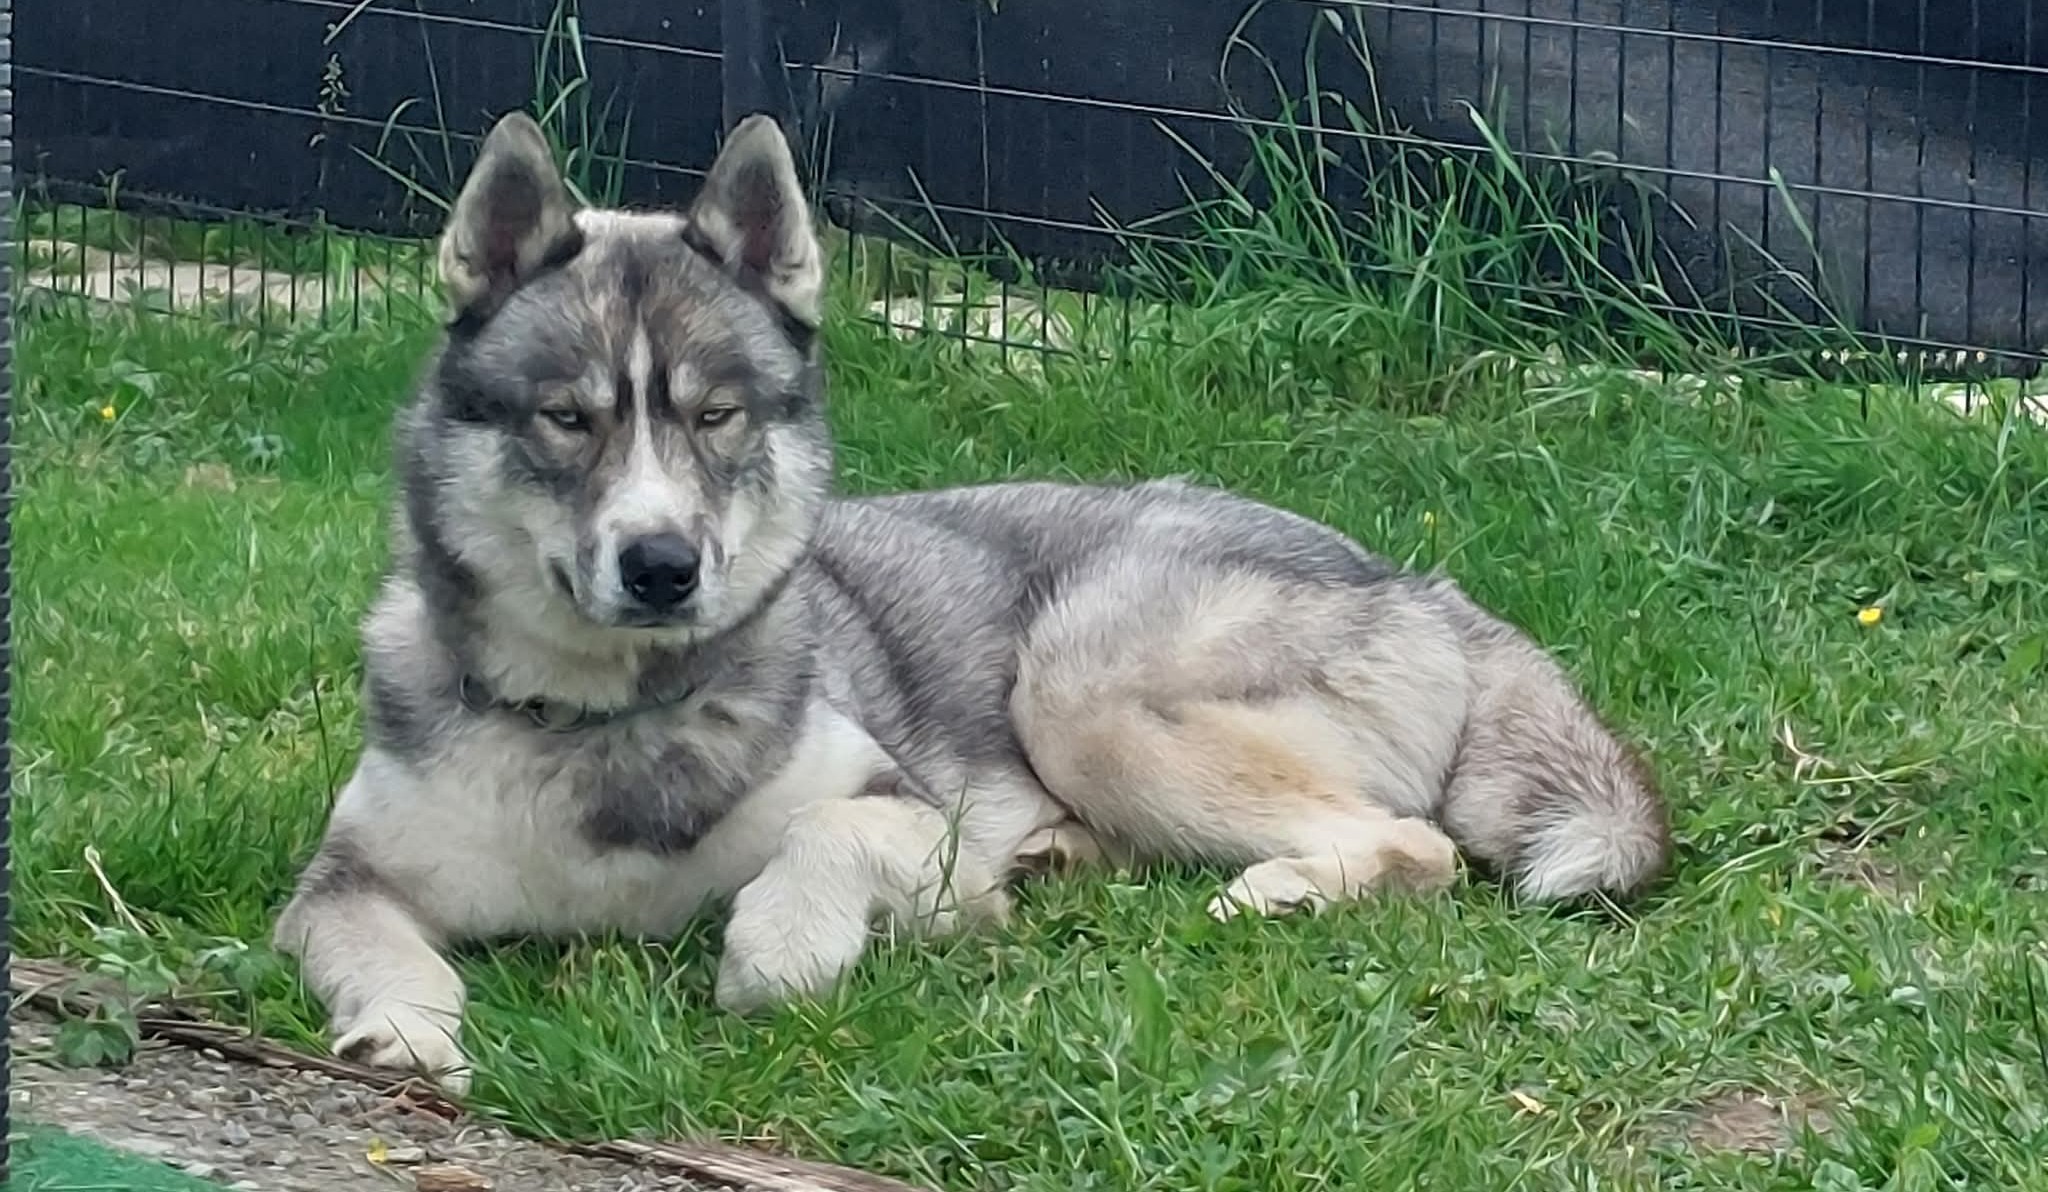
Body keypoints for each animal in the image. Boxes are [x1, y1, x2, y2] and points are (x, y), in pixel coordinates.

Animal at [274, 111, 1671, 1093]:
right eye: (567, 418)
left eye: (716, 415)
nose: (662, 564)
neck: (616, 726)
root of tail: (1417, 578)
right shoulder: (338, 882)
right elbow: (373, 943)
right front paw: (400, 1025)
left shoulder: (916, 818)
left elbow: (822, 835)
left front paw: (780, 945)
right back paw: (1069, 855)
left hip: (1079, 690)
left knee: (1414, 844)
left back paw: (1267, 888)